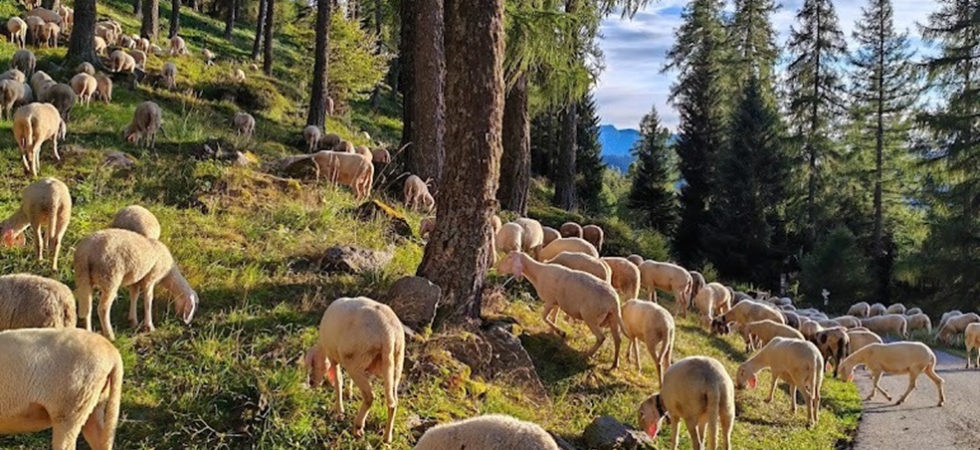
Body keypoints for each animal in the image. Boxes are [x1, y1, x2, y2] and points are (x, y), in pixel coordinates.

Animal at [304, 297, 404, 443]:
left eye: (313, 365)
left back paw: (357, 427)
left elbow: (338, 381)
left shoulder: (334, 357)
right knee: (393, 402)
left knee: (369, 396)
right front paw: (349, 393)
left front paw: (339, 411)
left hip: (356, 357)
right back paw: (387, 437)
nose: (313, 385)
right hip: (395, 362)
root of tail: (388, 334)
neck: (322, 348)